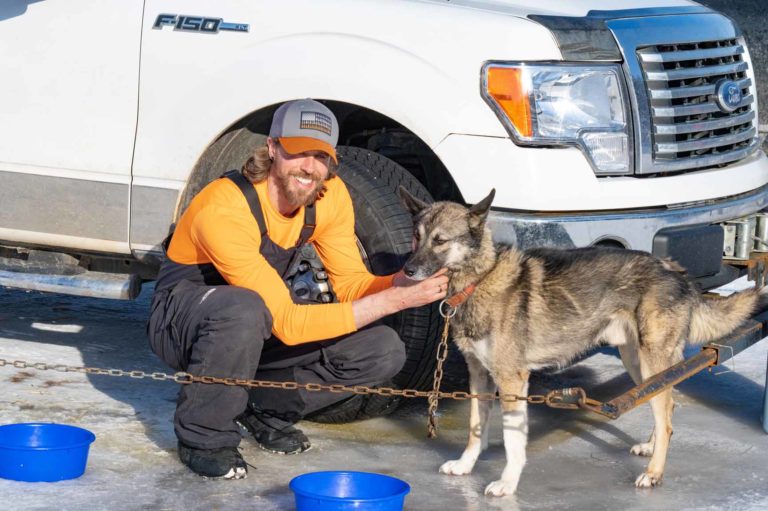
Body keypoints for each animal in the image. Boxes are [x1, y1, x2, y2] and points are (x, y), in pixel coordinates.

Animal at [400, 188, 760, 496]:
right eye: (416, 236)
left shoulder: (512, 380)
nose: (408, 271)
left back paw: (655, 473)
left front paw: (507, 484)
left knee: (666, 416)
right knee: (665, 405)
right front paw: (465, 465)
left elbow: (513, 442)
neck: (480, 279)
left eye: (440, 240)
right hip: (637, 363)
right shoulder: (479, 377)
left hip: (650, 360)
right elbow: (476, 428)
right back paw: (651, 446)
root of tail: (675, 270)